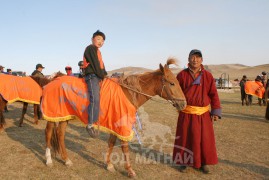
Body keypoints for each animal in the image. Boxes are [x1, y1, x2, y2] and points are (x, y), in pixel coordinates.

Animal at [44, 58, 186, 177]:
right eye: (172, 83)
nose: (184, 104)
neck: (128, 93)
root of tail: (54, 79)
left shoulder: (113, 124)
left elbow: (111, 143)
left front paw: (109, 165)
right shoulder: (122, 126)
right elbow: (125, 147)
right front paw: (130, 170)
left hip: (64, 117)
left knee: (60, 134)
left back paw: (66, 159)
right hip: (52, 116)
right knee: (49, 133)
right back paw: (48, 159)